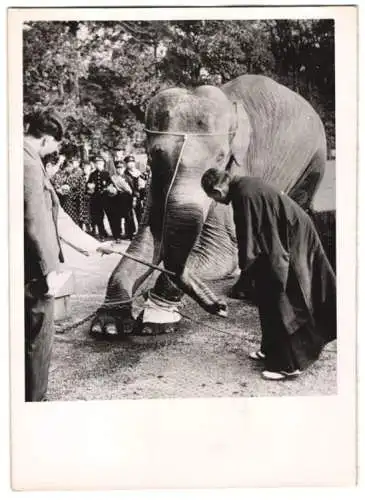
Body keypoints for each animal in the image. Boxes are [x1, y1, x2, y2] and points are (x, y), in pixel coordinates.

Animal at [89, 73, 328, 340]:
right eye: (154, 156)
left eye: (221, 157)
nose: (219, 307)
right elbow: (150, 238)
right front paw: (108, 326)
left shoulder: (239, 169)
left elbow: (220, 251)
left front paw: (156, 320)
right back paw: (243, 293)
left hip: (312, 164)